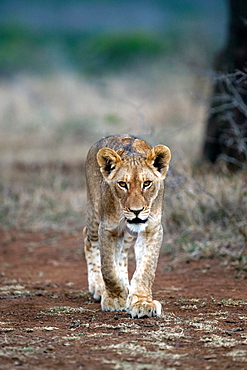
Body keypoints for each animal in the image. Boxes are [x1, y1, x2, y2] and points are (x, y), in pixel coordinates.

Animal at [84, 135, 171, 318]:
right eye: (123, 184)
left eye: (147, 183)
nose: (136, 211)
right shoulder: (107, 228)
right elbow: (108, 269)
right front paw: (115, 298)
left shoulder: (152, 230)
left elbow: (146, 270)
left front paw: (142, 303)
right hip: (94, 213)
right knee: (89, 241)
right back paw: (98, 287)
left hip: (126, 233)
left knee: (122, 253)